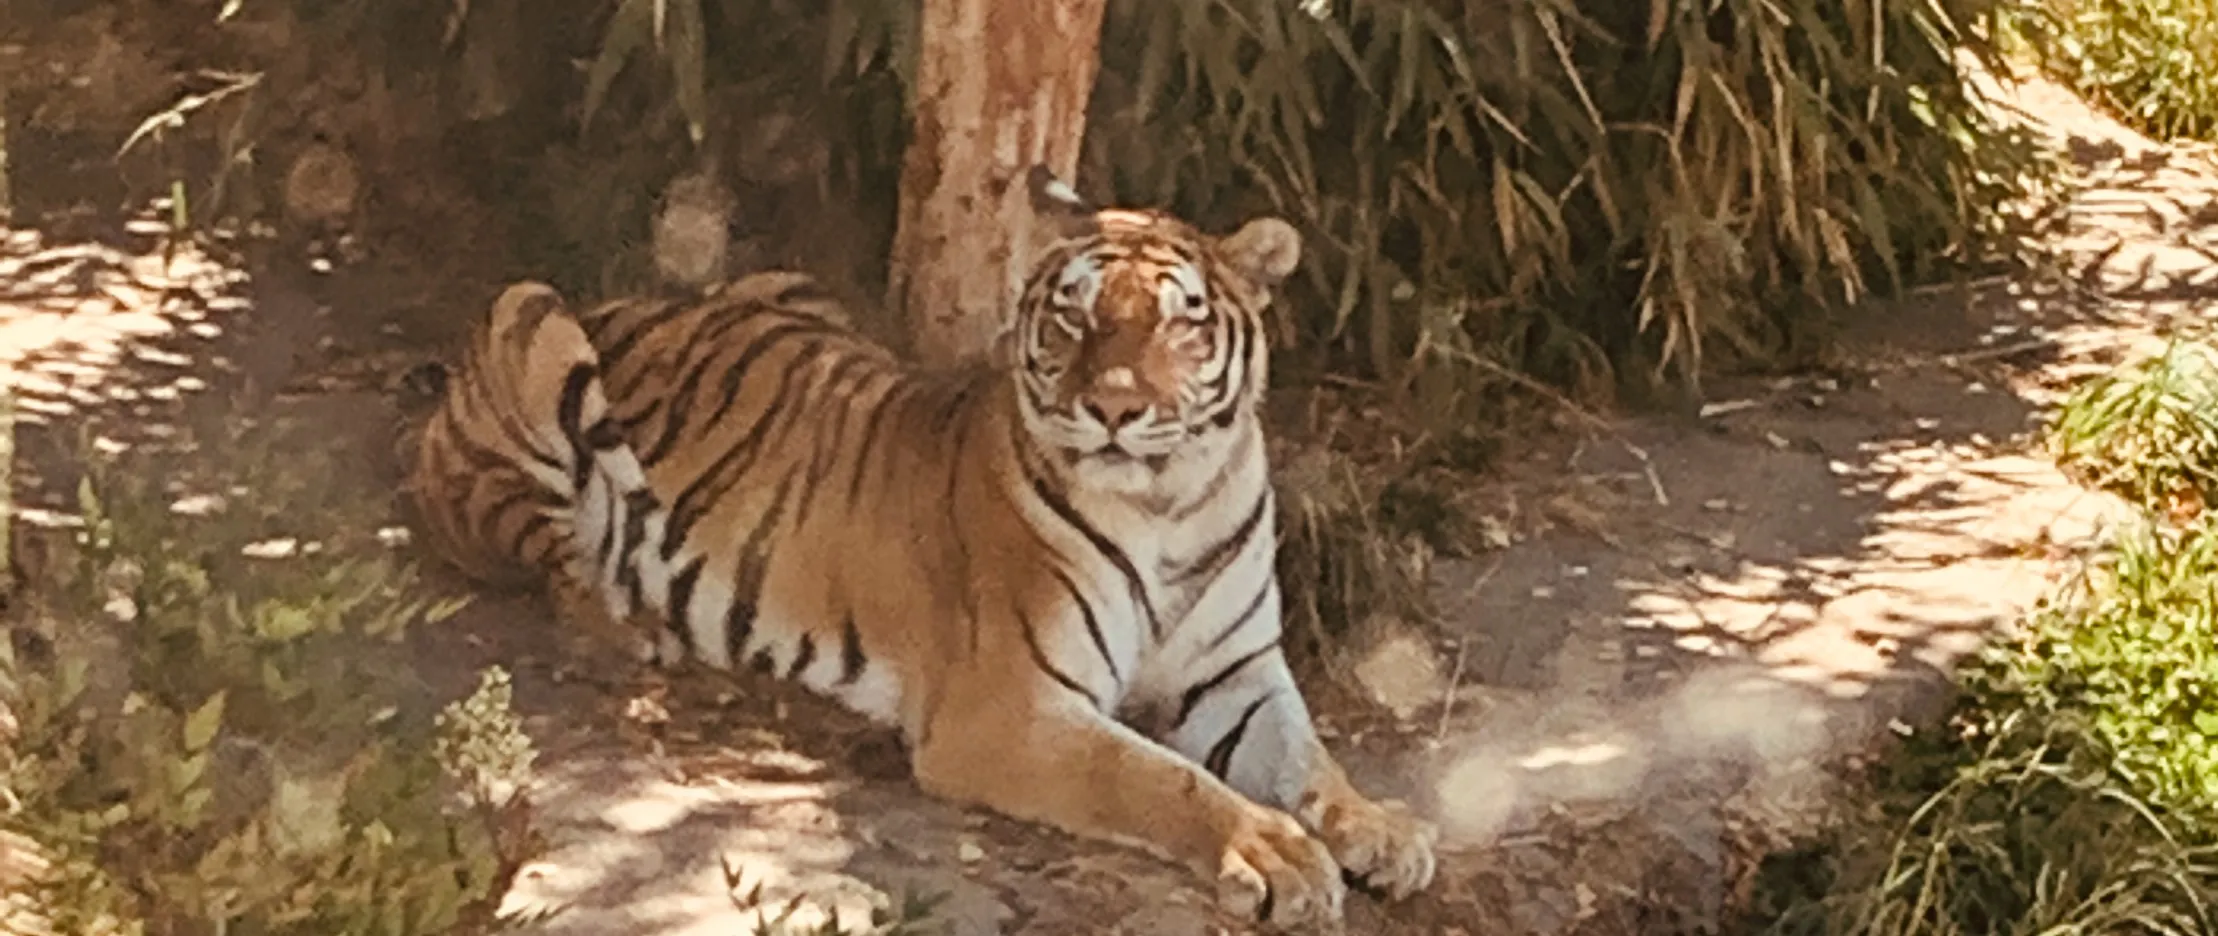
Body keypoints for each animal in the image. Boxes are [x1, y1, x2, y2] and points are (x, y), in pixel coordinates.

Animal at [405, 166, 1439, 928]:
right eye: (1075, 313)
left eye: (1178, 318)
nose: (1111, 409)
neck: (1170, 500)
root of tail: (623, 298)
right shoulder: (1010, 709)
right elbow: (1160, 778)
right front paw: (1278, 855)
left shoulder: (1237, 674)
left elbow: (1312, 759)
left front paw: (1383, 831)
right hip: (533, 320)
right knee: (553, 552)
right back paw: (635, 628)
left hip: (802, 290)